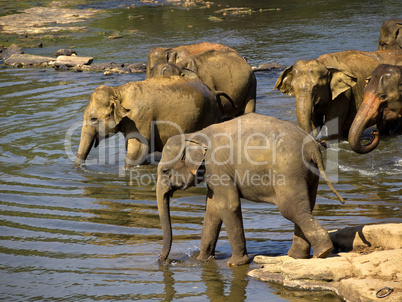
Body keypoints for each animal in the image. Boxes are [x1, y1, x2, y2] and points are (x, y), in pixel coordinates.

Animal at [75, 75, 226, 170]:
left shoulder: (139, 119)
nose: (81, 168)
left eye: (93, 119)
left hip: (210, 117)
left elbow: (137, 151)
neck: (118, 91)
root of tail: (211, 90)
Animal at [155, 113, 344, 266]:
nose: (164, 261)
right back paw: (298, 256)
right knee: (305, 208)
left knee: (292, 210)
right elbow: (213, 210)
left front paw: (235, 263)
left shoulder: (218, 166)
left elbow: (228, 206)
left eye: (165, 171)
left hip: (289, 172)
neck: (193, 135)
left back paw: (322, 252)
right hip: (309, 174)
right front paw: (202, 260)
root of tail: (313, 147)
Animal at [274, 49, 402, 139]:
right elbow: (316, 121)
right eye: (294, 89)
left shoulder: (344, 94)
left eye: (316, 88)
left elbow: (332, 125)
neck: (324, 64)